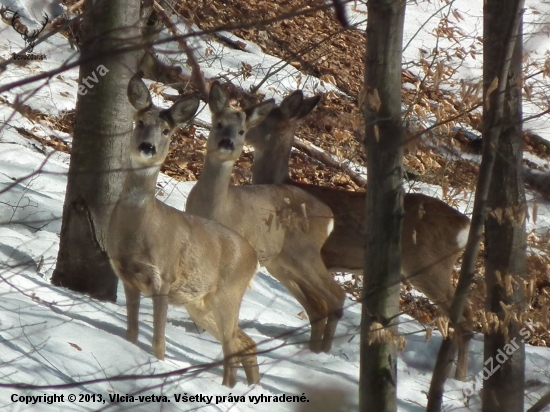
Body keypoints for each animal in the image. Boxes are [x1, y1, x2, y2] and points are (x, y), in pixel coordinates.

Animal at [108, 75, 264, 388]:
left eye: (166, 130)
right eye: (139, 122)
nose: (147, 147)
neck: (139, 228)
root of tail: (254, 256)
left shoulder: (163, 278)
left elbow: (158, 341)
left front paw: (157, 366)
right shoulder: (126, 276)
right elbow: (131, 333)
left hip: (228, 294)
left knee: (231, 346)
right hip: (200, 305)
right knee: (243, 342)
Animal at [188, 81, 348, 354]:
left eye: (242, 130)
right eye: (218, 123)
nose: (227, 142)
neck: (218, 206)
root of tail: (329, 217)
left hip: (304, 253)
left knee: (335, 296)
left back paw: (322, 352)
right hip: (281, 262)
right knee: (318, 304)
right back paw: (313, 350)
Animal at [245, 90, 474, 380]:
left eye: (262, 119)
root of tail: (465, 225)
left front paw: (319, 352)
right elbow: (316, 309)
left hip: (429, 267)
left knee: (464, 321)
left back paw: (459, 377)